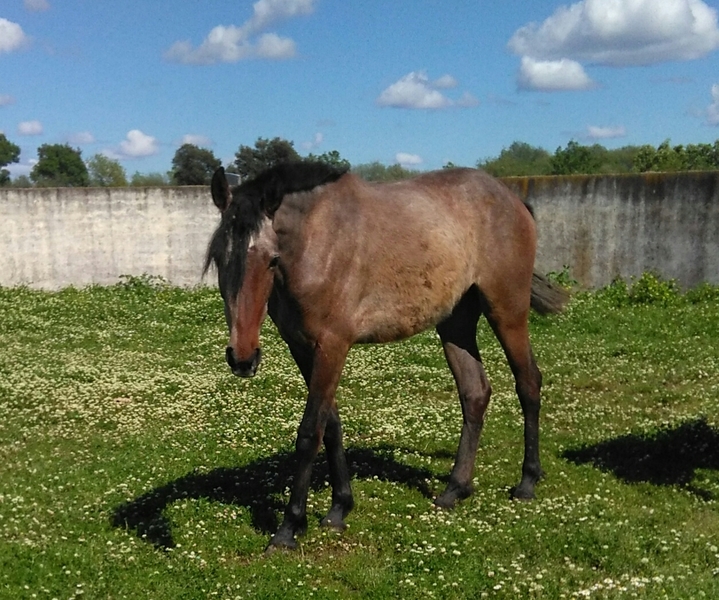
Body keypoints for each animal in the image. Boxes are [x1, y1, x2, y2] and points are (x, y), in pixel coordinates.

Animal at [204, 162, 568, 551]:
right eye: (217, 257)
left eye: (272, 259)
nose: (242, 358)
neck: (317, 241)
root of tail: (514, 200)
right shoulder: (301, 347)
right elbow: (331, 426)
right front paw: (339, 508)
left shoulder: (332, 345)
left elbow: (310, 432)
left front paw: (289, 528)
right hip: (455, 322)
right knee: (475, 393)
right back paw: (454, 489)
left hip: (507, 311)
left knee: (528, 382)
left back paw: (527, 482)